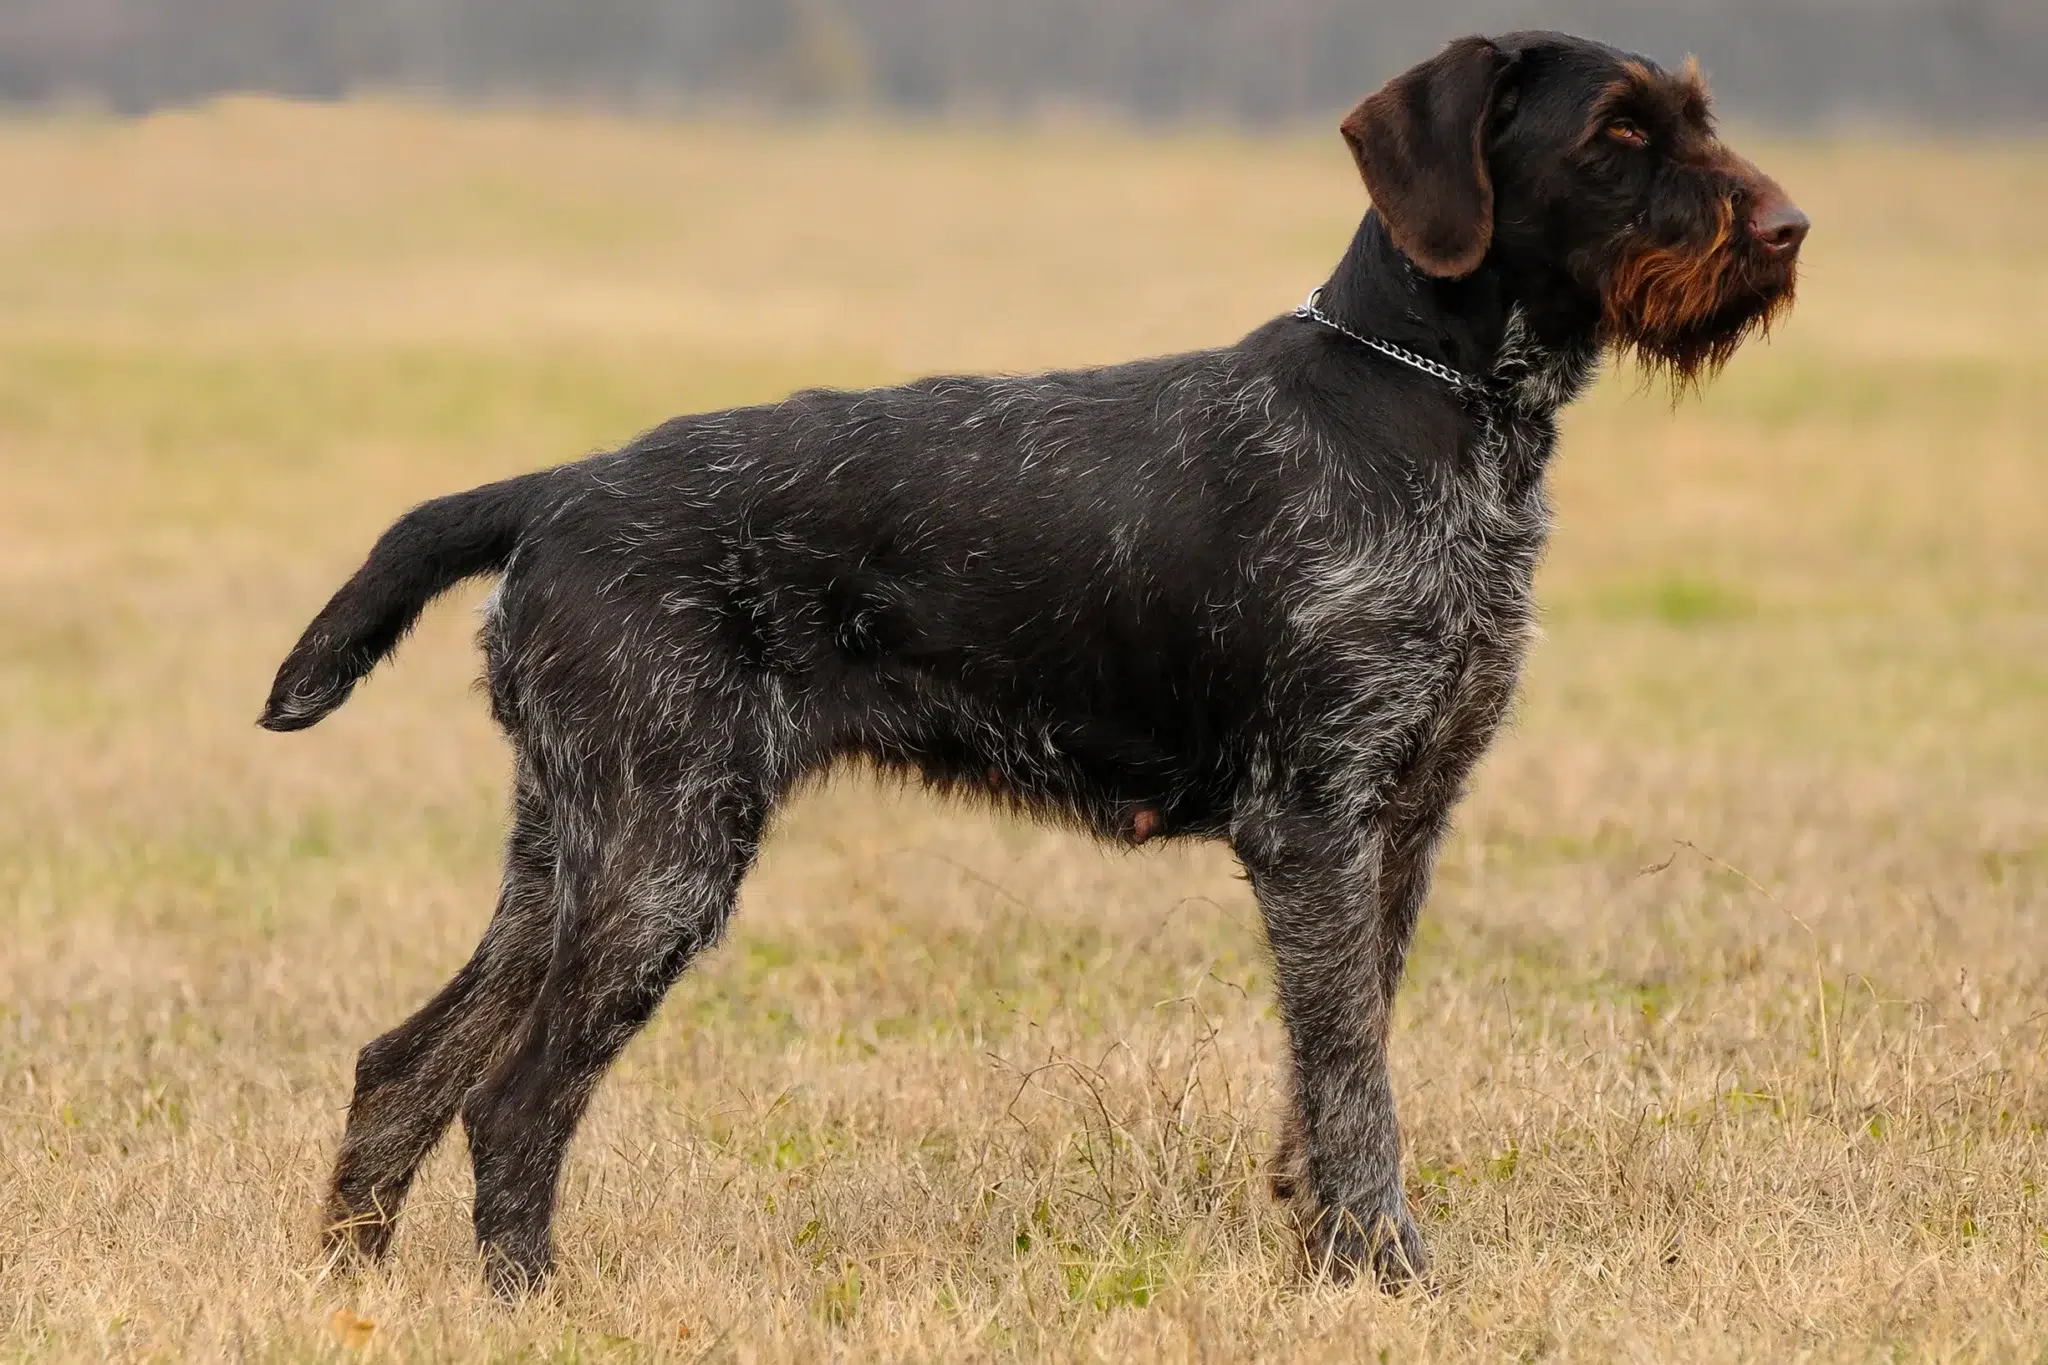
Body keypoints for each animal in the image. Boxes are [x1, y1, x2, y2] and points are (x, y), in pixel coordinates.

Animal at [260, 29, 1810, 1293]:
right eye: (1617, 133)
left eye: (1692, 114)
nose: (1792, 227)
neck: (1429, 404)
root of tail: (562, 487)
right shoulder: (1314, 819)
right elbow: (1353, 1081)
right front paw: (1386, 1270)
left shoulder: (1407, 818)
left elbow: (1335, 1064)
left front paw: (1322, 1253)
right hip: (663, 854)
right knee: (512, 1100)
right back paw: (529, 1299)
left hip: (576, 845)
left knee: (403, 1063)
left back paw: (352, 1288)